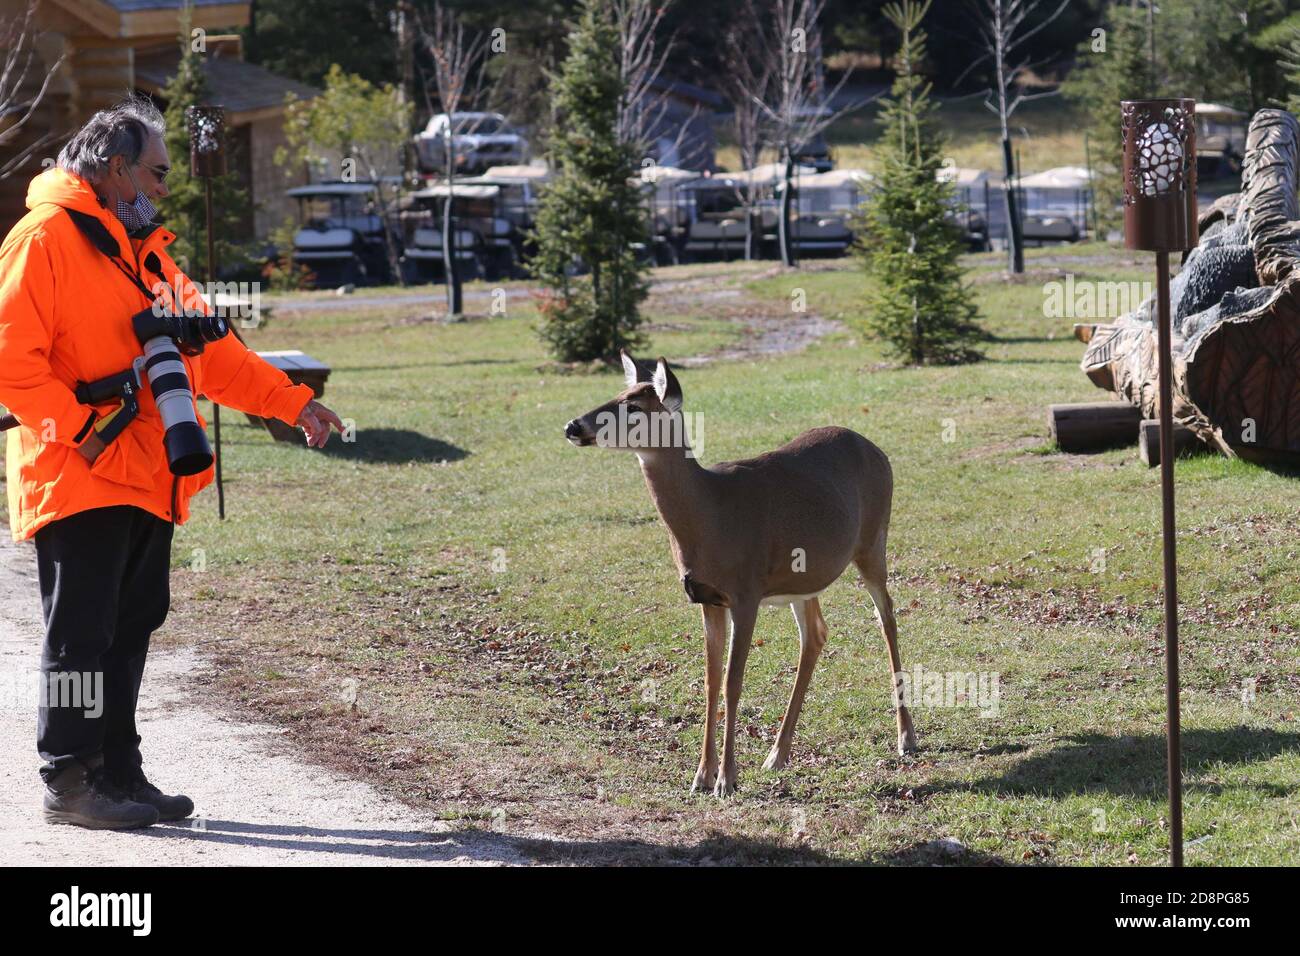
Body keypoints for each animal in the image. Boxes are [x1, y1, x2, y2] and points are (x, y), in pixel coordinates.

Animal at [564, 353, 920, 801]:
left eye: (633, 406)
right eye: (615, 392)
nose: (573, 426)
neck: (710, 514)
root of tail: (875, 449)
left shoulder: (746, 593)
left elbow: (733, 682)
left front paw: (726, 779)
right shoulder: (707, 599)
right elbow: (710, 679)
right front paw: (701, 775)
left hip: (873, 542)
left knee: (887, 616)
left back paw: (906, 738)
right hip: (805, 578)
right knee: (816, 633)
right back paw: (777, 754)